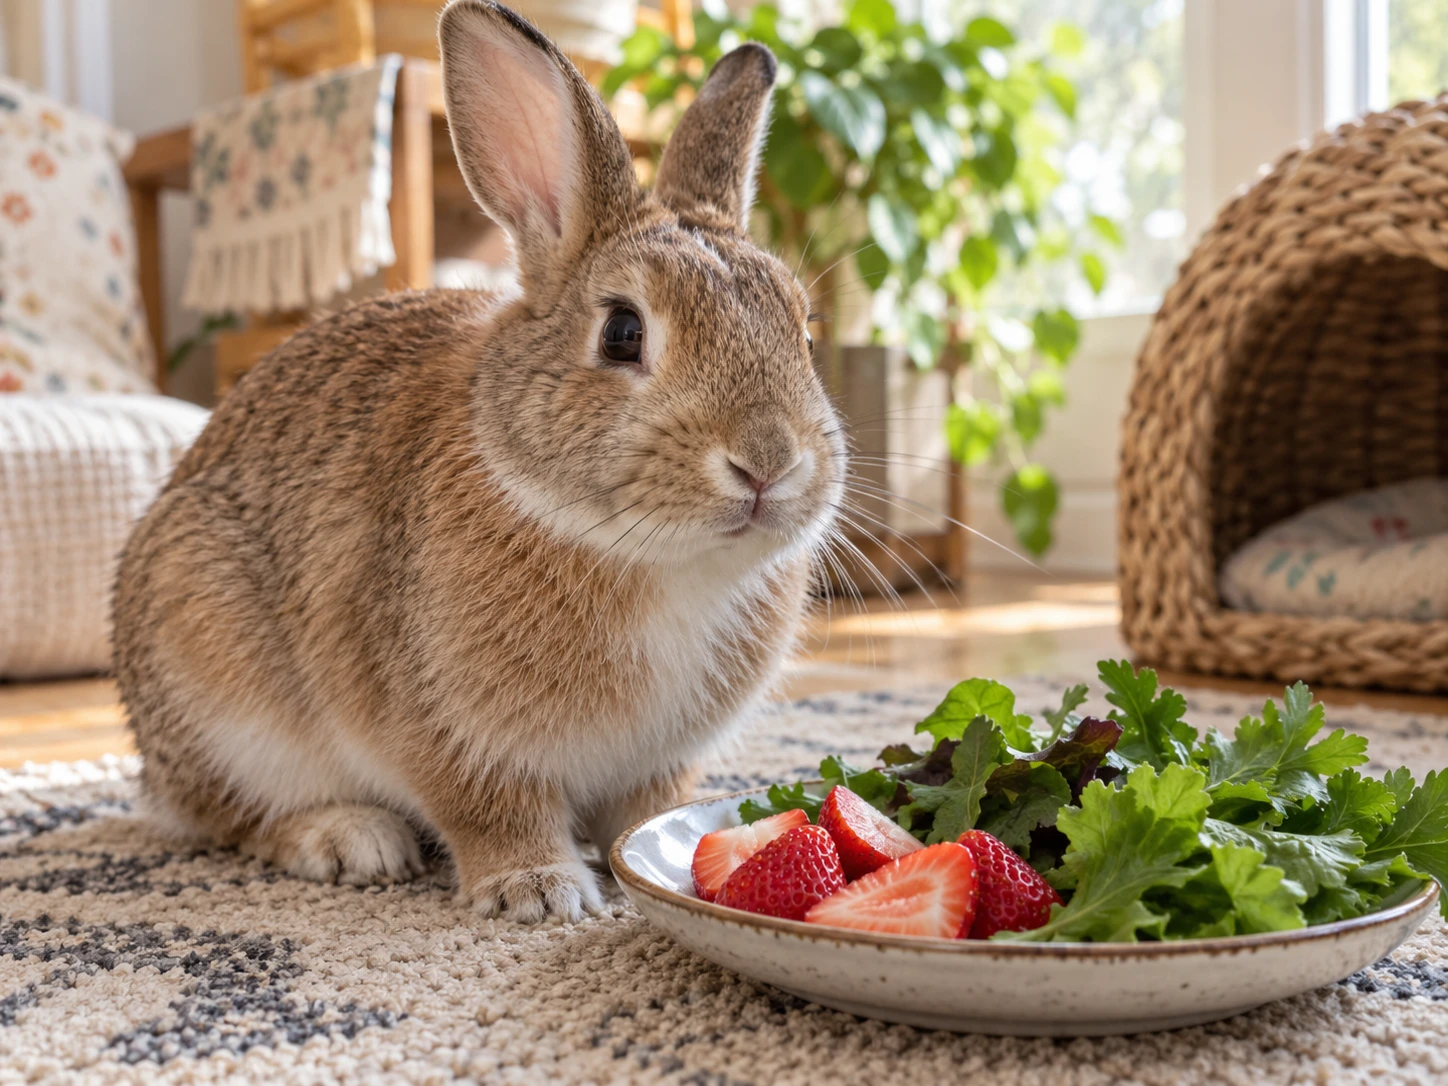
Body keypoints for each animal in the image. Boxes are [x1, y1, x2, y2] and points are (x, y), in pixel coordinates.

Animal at [112, 0, 844, 922]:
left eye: (803, 330)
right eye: (623, 332)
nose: (767, 463)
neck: (656, 557)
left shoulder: (658, 763)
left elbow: (647, 810)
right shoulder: (452, 734)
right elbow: (491, 809)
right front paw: (538, 891)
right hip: (214, 676)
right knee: (232, 818)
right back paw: (348, 839)